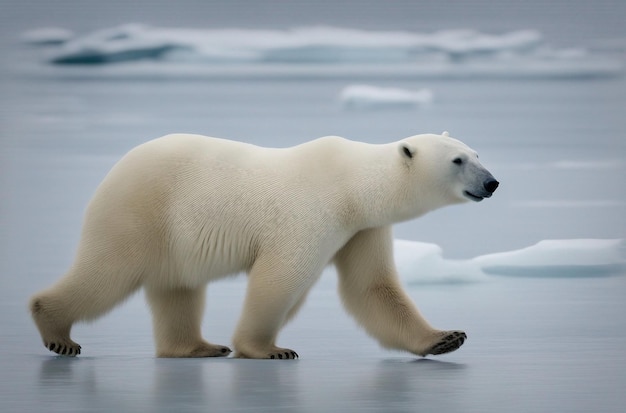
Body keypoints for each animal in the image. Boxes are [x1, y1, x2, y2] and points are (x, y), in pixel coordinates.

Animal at [29, 131, 498, 358]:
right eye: (458, 160)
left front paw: (445, 338)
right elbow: (280, 279)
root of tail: (115, 169)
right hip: (142, 211)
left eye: (477, 153)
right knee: (108, 273)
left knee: (178, 290)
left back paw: (197, 347)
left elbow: (372, 287)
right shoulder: (312, 212)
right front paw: (269, 349)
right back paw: (58, 333)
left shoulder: (363, 228)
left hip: (170, 236)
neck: (351, 185)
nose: (492, 183)